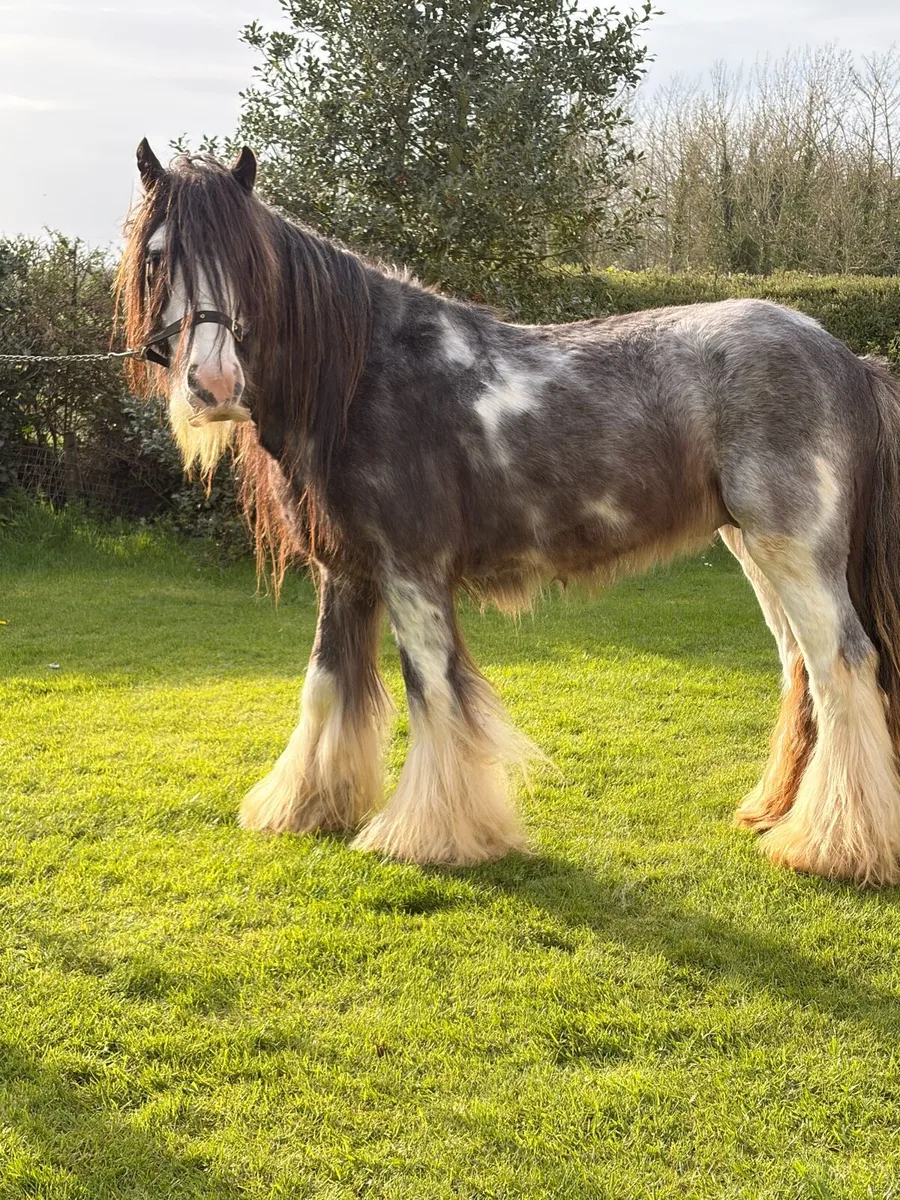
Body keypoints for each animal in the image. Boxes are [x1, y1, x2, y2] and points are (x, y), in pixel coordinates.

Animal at [118, 139, 900, 886]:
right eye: (158, 258)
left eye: (248, 262)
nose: (214, 385)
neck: (361, 377)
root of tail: (845, 357)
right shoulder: (346, 575)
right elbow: (325, 688)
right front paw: (306, 807)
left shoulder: (412, 572)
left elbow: (434, 694)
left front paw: (430, 837)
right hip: (756, 553)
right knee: (802, 672)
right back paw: (778, 815)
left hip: (795, 553)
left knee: (844, 666)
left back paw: (836, 848)